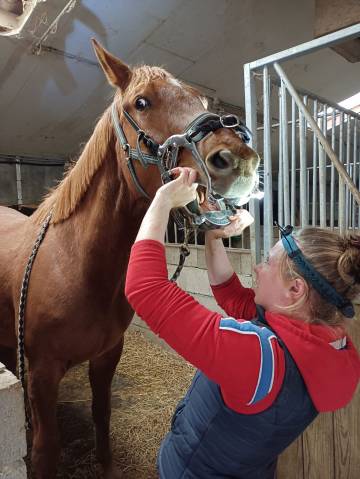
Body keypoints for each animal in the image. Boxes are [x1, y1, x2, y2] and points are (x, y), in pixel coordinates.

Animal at [0, 38, 260, 479]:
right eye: (142, 102)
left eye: (201, 99)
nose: (239, 159)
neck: (74, 264)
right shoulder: (40, 374)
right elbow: (45, 449)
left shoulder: (107, 356)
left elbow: (102, 417)